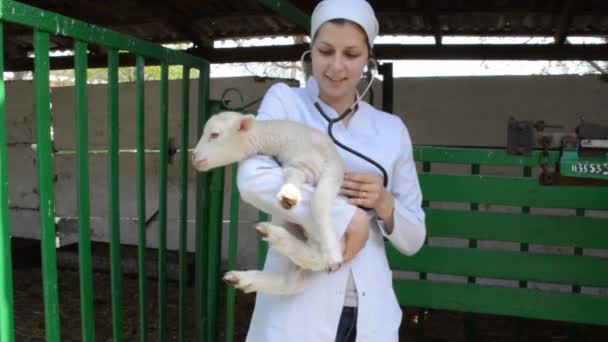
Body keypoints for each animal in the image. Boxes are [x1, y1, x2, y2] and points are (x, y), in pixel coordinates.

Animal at [192, 110, 344, 294]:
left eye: (214, 134)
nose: (193, 157)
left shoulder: (332, 169)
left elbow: (319, 203)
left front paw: (333, 255)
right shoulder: (301, 165)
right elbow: (294, 176)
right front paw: (289, 194)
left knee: (315, 261)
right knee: (296, 279)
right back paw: (245, 274)